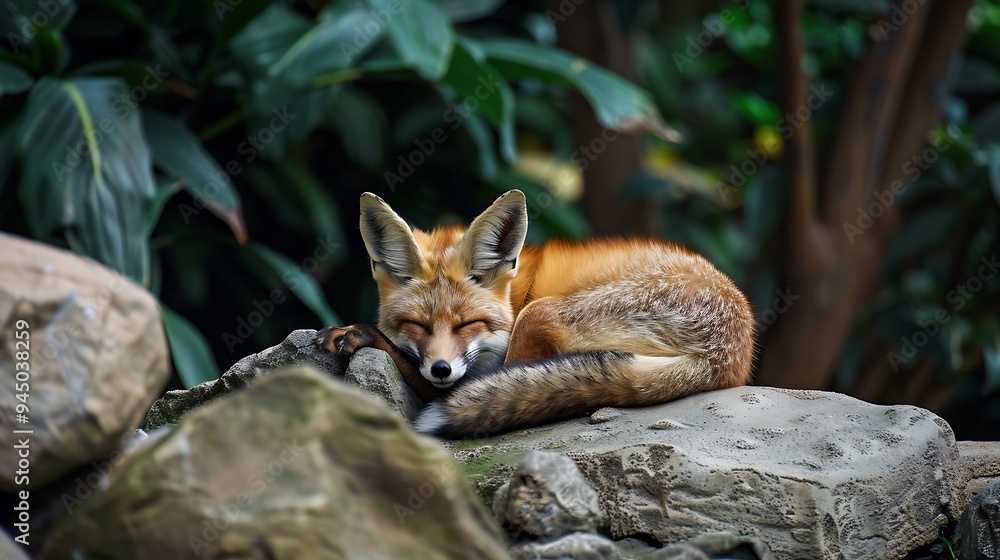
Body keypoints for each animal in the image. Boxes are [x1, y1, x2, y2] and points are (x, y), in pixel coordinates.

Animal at [316, 190, 755, 439]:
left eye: (467, 324)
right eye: (417, 325)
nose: (441, 368)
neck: (517, 290)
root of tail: (725, 356)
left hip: (540, 315)